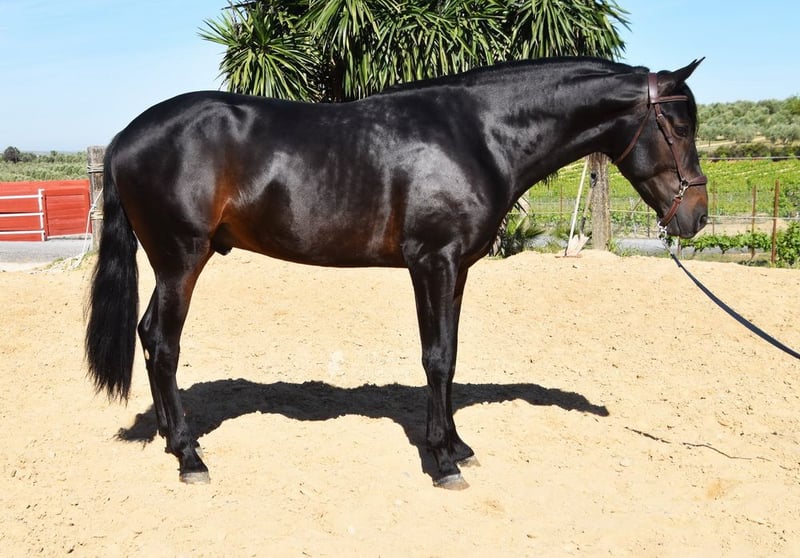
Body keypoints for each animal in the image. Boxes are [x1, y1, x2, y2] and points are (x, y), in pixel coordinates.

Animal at [86, 56, 707, 488]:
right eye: (678, 128)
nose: (696, 216)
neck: (477, 135)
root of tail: (124, 137)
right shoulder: (432, 262)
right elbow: (436, 358)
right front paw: (441, 462)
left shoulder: (457, 269)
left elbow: (450, 355)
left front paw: (456, 446)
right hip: (180, 260)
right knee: (163, 342)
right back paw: (190, 456)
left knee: (149, 336)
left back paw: (172, 441)